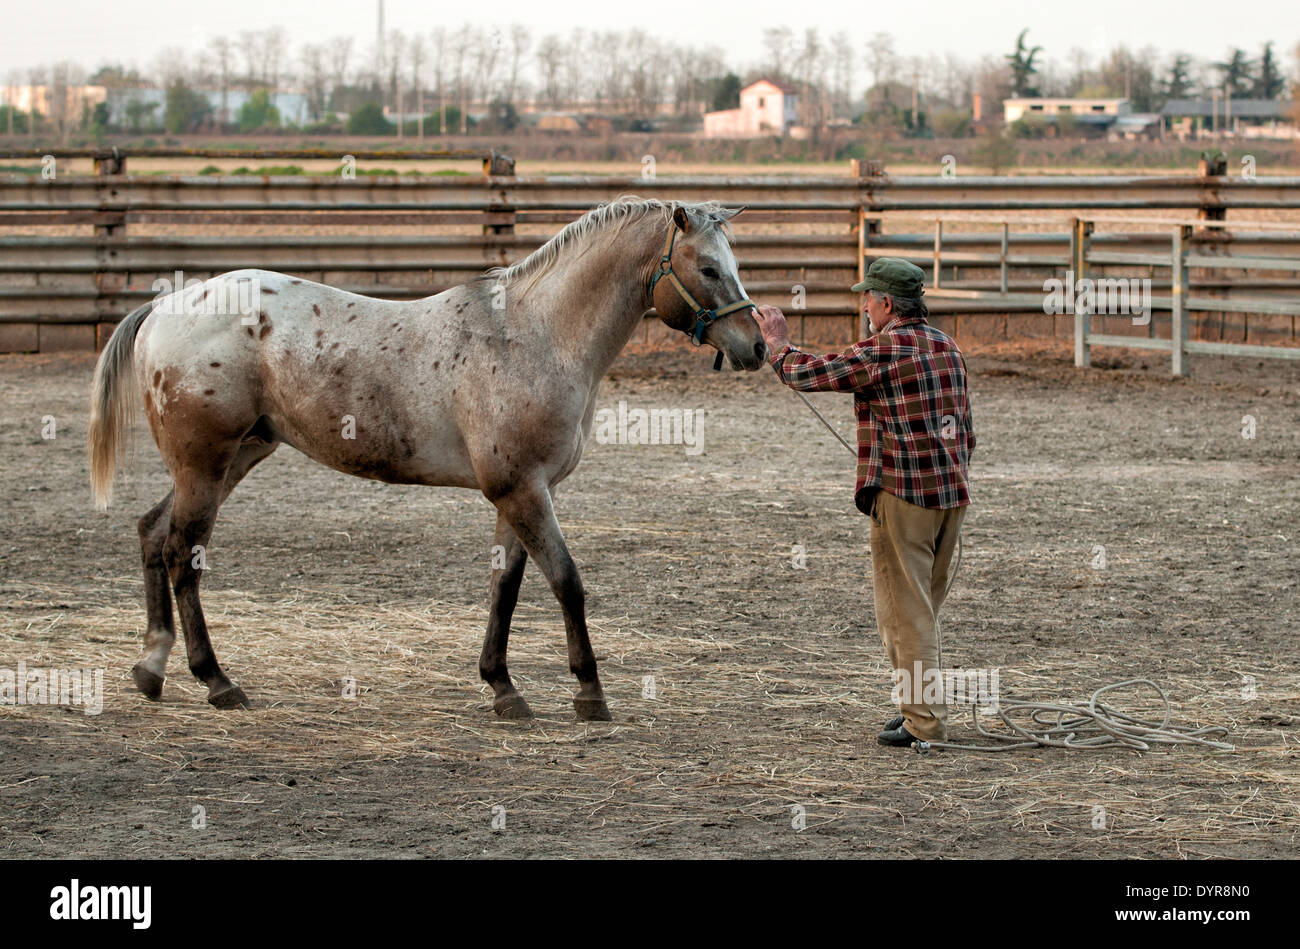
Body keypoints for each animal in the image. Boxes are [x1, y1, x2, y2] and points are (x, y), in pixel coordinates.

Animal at [87, 197, 767, 721]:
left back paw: (151, 668)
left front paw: (503, 688)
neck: (534, 334)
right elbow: (566, 581)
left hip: (231, 459)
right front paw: (589, 693)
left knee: (153, 533)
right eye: (708, 268)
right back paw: (217, 681)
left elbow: (505, 587)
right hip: (205, 464)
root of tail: (166, 307)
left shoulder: (520, 492)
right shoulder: (523, 489)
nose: (756, 346)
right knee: (183, 553)